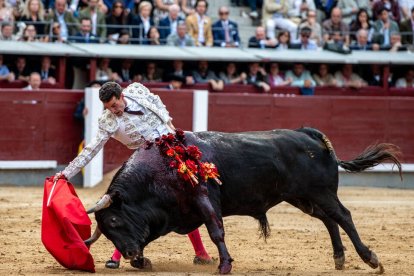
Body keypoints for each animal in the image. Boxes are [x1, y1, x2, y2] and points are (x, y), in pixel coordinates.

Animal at [85, 127, 402, 274]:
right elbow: (153, 237)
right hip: (303, 198)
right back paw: (338, 258)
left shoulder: (204, 198)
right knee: (329, 219)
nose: (128, 254)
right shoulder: (169, 215)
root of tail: (309, 133)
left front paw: (225, 265)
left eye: (115, 219)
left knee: (343, 216)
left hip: (322, 192)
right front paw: (142, 262)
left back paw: (370, 258)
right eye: (107, 230)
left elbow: (216, 231)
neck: (162, 168)